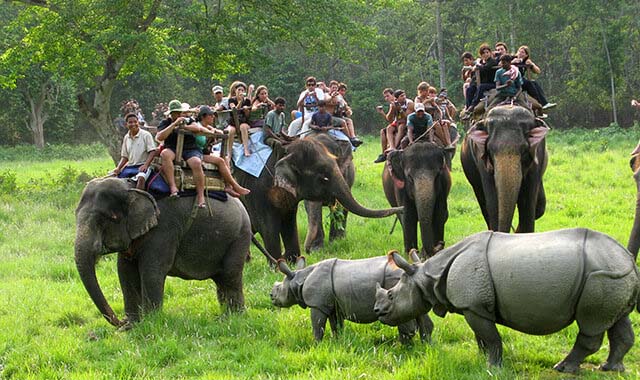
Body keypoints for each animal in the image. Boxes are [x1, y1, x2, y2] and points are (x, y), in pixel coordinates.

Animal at [72, 177, 248, 328]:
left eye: (109, 218)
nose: (120, 321)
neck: (134, 188)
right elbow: (125, 271)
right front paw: (132, 325)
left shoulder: (164, 228)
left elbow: (151, 271)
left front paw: (151, 323)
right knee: (221, 279)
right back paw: (226, 317)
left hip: (239, 237)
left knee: (230, 276)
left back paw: (233, 318)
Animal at [270, 252, 436, 344]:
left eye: (278, 289)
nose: (270, 295)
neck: (298, 279)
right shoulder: (333, 305)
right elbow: (336, 325)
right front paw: (338, 342)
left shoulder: (317, 304)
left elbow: (318, 326)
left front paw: (316, 345)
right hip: (410, 286)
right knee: (417, 312)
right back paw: (426, 346)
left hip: (395, 281)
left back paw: (402, 348)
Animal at [376, 227, 640, 372]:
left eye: (391, 295)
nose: (379, 312)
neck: (427, 277)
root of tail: (628, 260)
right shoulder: (476, 307)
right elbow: (481, 336)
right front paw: (481, 359)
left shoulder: (472, 305)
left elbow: (491, 337)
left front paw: (493, 367)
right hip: (614, 276)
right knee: (617, 320)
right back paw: (609, 368)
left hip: (599, 276)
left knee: (591, 324)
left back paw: (564, 368)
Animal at [460, 105, 552, 233]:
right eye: (490, 149)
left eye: (524, 150)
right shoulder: (481, 158)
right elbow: (493, 203)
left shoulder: (538, 153)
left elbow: (528, 203)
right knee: (483, 202)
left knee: (540, 206)